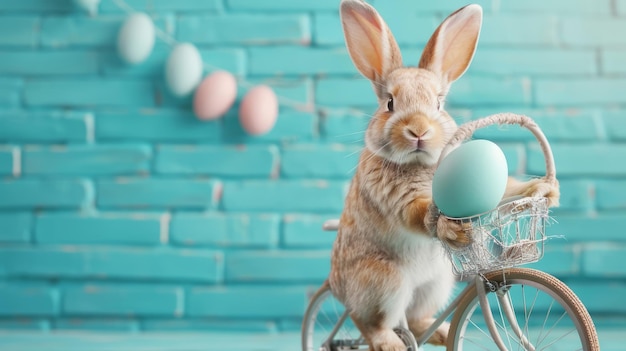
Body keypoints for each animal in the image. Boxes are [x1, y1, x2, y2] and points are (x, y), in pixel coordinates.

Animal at [330, 1, 560, 350]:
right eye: (389, 103)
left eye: (439, 104)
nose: (418, 130)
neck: (421, 164)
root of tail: (336, 287)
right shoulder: (395, 196)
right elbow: (419, 214)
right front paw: (451, 229)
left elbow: (508, 190)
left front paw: (544, 189)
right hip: (383, 284)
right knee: (369, 323)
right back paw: (390, 343)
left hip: (436, 283)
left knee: (415, 319)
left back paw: (440, 331)